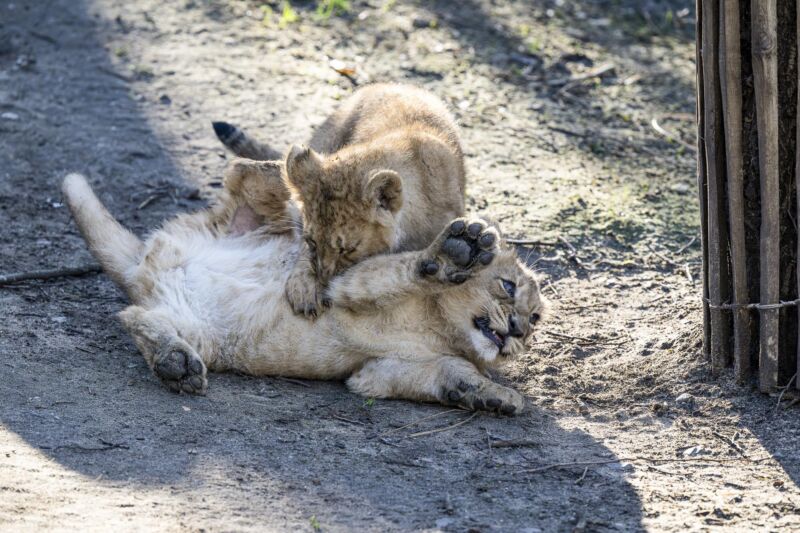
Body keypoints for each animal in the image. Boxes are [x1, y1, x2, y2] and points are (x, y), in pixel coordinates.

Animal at [61, 169, 545, 414]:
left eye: (537, 319)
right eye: (507, 287)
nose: (519, 331)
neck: (440, 328)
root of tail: (146, 261)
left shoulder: (376, 374)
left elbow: (451, 375)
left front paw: (495, 398)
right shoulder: (346, 287)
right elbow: (407, 268)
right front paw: (459, 253)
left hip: (201, 333)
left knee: (134, 317)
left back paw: (175, 364)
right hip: (258, 219)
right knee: (250, 178)